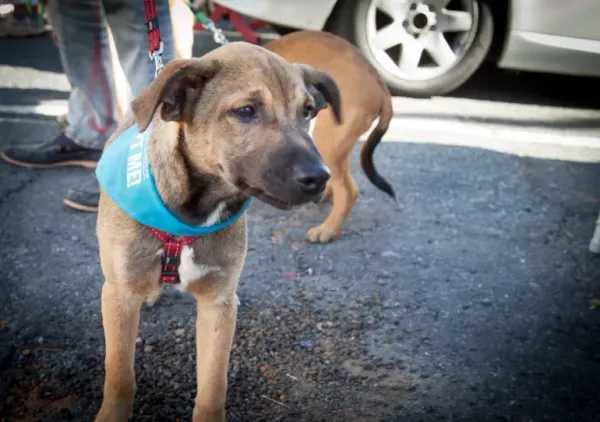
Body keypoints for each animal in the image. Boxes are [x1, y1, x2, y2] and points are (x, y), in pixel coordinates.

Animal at [94, 40, 338, 422]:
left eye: (308, 111)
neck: (191, 217)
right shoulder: (118, 298)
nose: (320, 178)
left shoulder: (219, 304)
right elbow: (119, 375)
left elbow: (213, 383)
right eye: (246, 110)